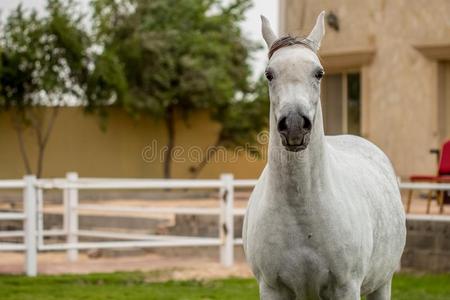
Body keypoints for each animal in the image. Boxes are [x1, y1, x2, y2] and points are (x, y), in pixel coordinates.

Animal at [244, 10, 406, 298]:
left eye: (318, 73)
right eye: (269, 74)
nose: (295, 125)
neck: (301, 212)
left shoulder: (346, 287)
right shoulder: (272, 288)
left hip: (382, 283)